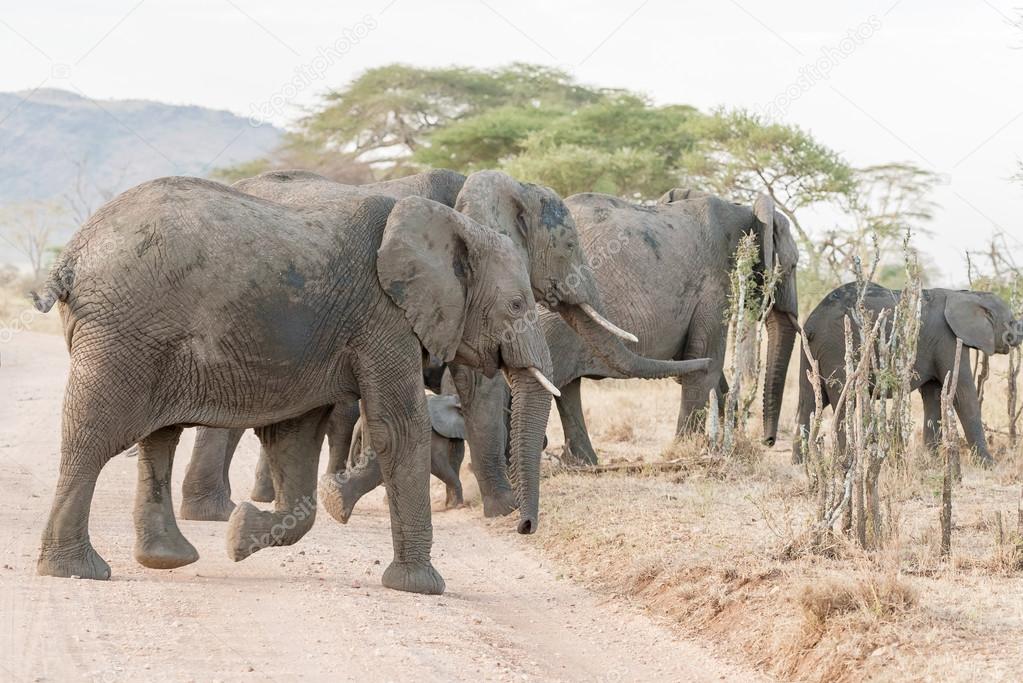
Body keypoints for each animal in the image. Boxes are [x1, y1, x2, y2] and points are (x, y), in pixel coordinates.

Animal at [31, 177, 556, 597]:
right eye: (516, 305)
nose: (525, 526)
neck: (454, 226)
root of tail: (71, 256)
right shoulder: (383, 317)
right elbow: (398, 428)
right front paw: (421, 588)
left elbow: (293, 439)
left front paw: (239, 535)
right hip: (123, 333)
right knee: (94, 438)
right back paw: (76, 571)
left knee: (158, 439)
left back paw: (166, 559)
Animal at [789, 282, 1023, 464]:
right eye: (1011, 323)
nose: (1016, 336)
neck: (968, 295)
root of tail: (811, 323)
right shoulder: (948, 340)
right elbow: (962, 395)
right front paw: (989, 465)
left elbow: (934, 396)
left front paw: (931, 461)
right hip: (837, 348)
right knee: (843, 402)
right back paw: (846, 460)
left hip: (810, 351)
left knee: (807, 402)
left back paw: (801, 463)